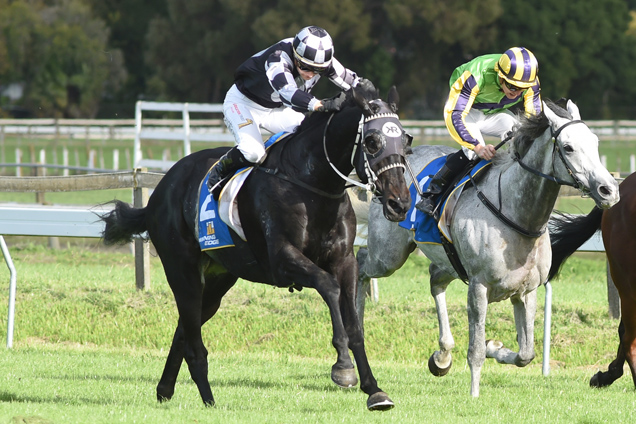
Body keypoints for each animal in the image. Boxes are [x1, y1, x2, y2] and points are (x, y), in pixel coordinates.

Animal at [97, 83, 410, 410]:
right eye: (372, 142)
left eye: (405, 139)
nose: (399, 203)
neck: (312, 184)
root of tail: (160, 191)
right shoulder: (283, 260)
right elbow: (329, 287)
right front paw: (343, 367)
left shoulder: (344, 261)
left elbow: (355, 325)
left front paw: (374, 390)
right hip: (182, 271)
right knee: (193, 341)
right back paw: (209, 400)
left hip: (218, 279)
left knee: (184, 329)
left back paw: (164, 389)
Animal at [358, 100, 620, 398]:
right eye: (568, 147)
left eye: (595, 142)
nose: (609, 190)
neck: (518, 215)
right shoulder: (478, 287)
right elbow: (476, 350)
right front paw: (474, 393)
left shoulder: (526, 291)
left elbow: (526, 353)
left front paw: (496, 347)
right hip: (388, 255)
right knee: (361, 262)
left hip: (447, 260)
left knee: (435, 279)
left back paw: (442, 356)